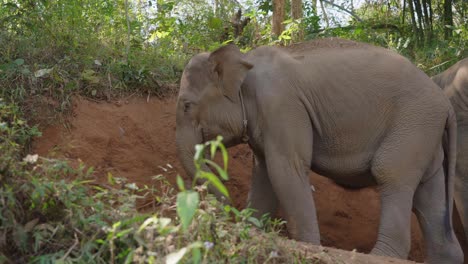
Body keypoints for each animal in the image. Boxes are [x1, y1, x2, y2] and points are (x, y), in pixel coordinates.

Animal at [176, 42, 464, 262]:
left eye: (187, 105)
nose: (225, 207)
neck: (245, 60)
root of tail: (445, 103)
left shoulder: (282, 105)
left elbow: (286, 170)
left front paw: (308, 247)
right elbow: (263, 176)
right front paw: (250, 232)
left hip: (413, 124)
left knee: (390, 173)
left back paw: (378, 255)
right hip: (425, 135)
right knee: (428, 195)